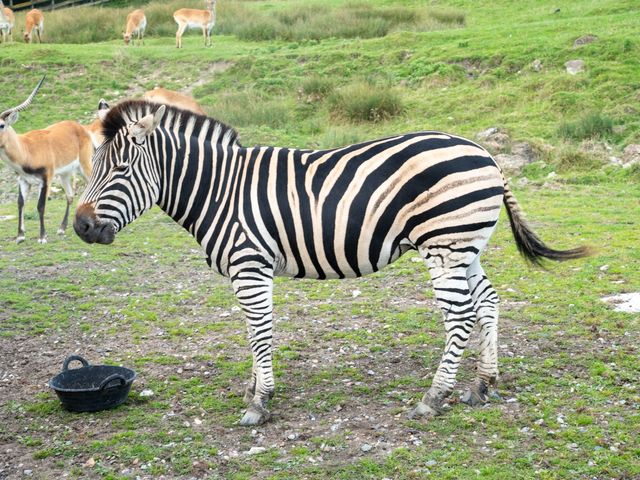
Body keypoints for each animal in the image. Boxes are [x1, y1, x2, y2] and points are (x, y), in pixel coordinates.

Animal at [0, 79, 93, 244]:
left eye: (2, 125)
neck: (27, 150)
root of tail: (78, 126)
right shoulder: (23, 180)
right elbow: (20, 203)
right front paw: (20, 236)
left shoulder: (46, 179)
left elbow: (40, 206)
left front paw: (42, 237)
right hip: (64, 174)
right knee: (70, 195)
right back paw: (62, 228)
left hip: (84, 166)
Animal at [72, 100, 588, 424]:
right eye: (91, 167)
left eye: (120, 170)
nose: (80, 227)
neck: (220, 189)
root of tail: (485, 153)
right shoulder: (245, 271)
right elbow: (251, 331)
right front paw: (253, 389)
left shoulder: (250, 264)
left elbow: (260, 332)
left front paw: (260, 402)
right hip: (466, 246)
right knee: (488, 303)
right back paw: (482, 384)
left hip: (443, 244)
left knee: (460, 315)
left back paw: (433, 398)